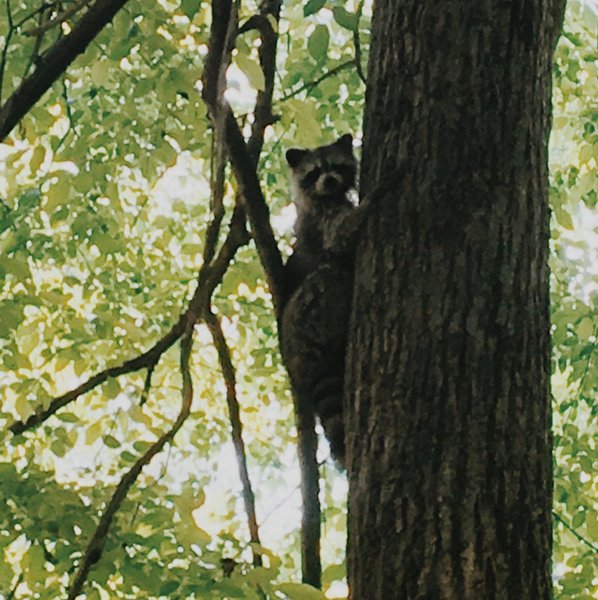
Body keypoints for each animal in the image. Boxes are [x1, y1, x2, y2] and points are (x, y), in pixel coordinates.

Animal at [280, 134, 370, 466]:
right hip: (309, 313)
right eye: (315, 172)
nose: (330, 181)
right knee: (331, 276)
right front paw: (376, 197)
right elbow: (341, 237)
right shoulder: (323, 218)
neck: (326, 196)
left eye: (335, 166)